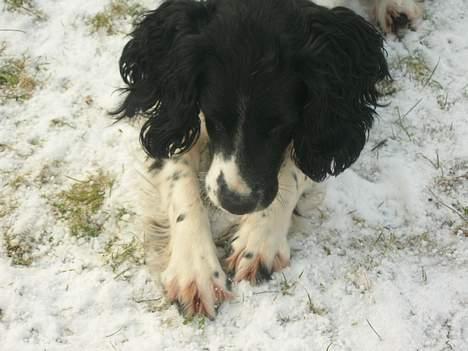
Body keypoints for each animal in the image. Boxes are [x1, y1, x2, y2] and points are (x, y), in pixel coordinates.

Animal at [115, 0, 422, 320]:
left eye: (280, 125)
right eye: (214, 117)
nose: (236, 202)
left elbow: (301, 163)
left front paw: (258, 240)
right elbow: (179, 171)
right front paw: (196, 270)